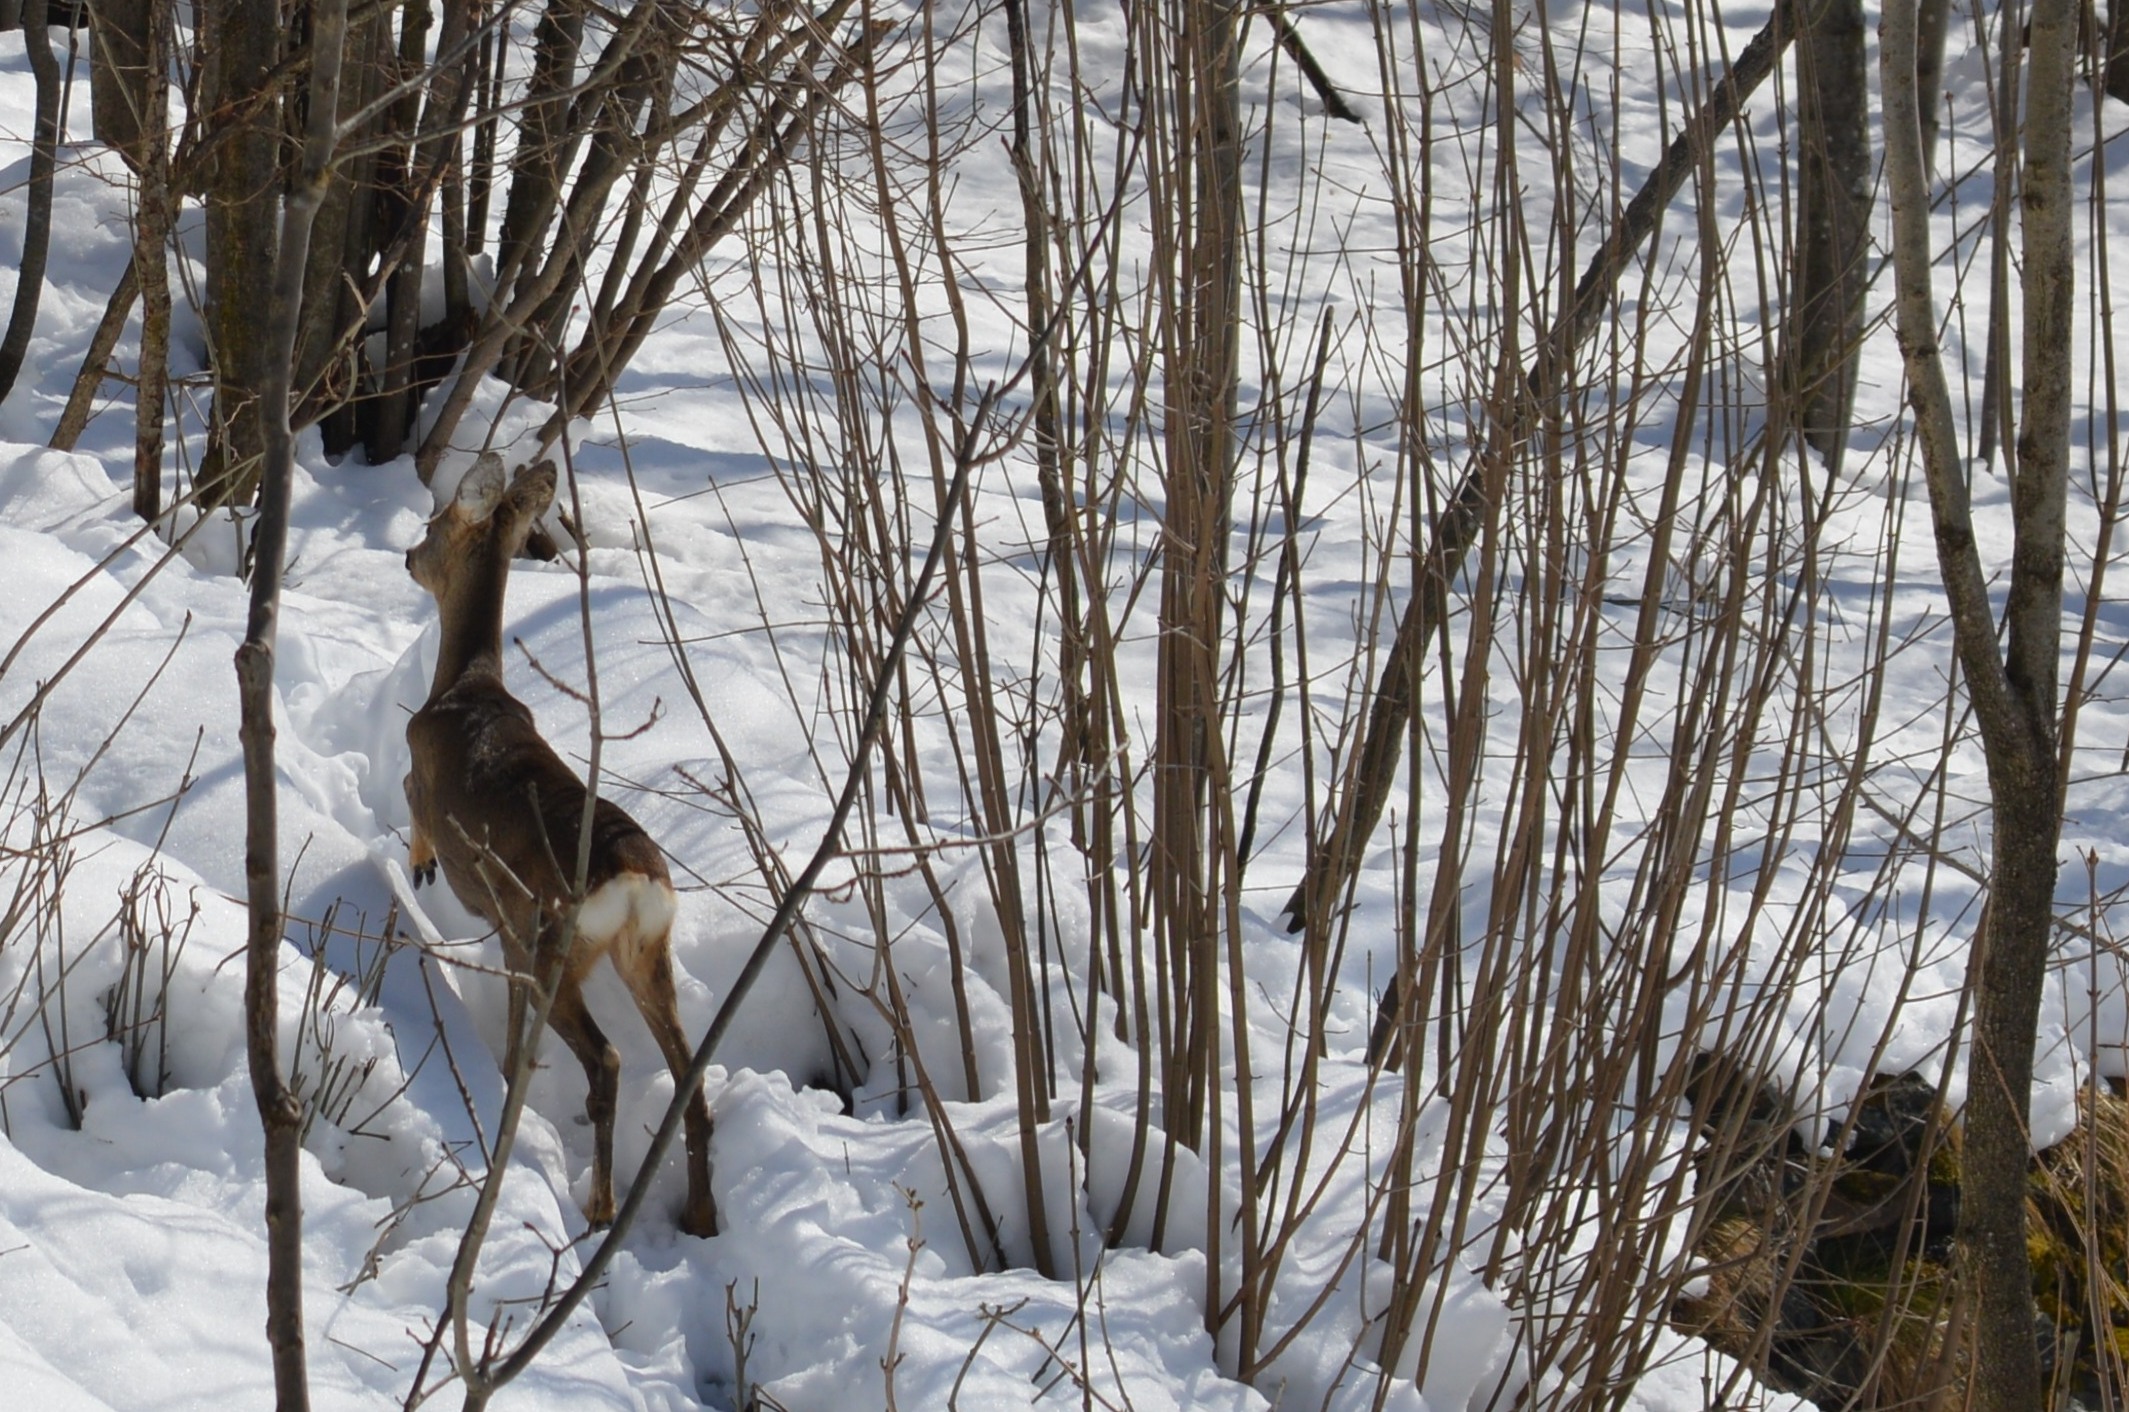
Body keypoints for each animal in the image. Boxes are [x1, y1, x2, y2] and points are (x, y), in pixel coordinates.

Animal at [402, 454, 716, 1238]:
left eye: (435, 526)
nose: (407, 555)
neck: (467, 685)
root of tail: (632, 879)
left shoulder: (420, 768)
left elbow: (407, 797)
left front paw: (420, 867)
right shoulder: (511, 937)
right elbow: (517, 1027)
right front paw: (508, 1074)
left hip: (557, 942)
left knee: (607, 1060)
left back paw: (600, 1206)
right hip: (642, 951)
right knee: (688, 1075)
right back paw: (699, 1214)